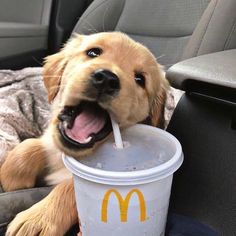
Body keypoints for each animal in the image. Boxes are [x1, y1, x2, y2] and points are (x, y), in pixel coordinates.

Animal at [0, 31, 169, 236]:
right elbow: (29, 146)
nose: (106, 79)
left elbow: (70, 185)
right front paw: (12, 179)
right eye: (93, 52)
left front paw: (38, 219)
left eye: (140, 80)